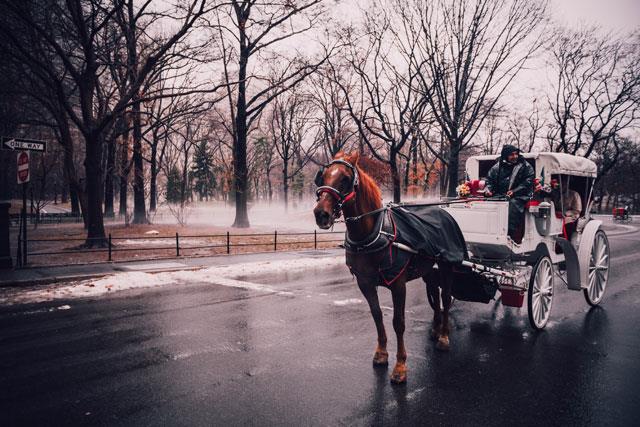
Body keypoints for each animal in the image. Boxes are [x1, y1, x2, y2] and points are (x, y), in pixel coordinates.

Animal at [314, 153, 456, 384]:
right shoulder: (365, 282)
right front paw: (381, 353)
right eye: (323, 176)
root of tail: (442, 211)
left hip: (447, 266)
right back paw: (435, 329)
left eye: (345, 179)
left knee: (445, 297)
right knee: (434, 292)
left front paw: (400, 366)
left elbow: (399, 322)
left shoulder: (398, 284)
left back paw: (443, 336)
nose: (321, 214)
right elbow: (377, 315)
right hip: (429, 269)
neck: (373, 233)